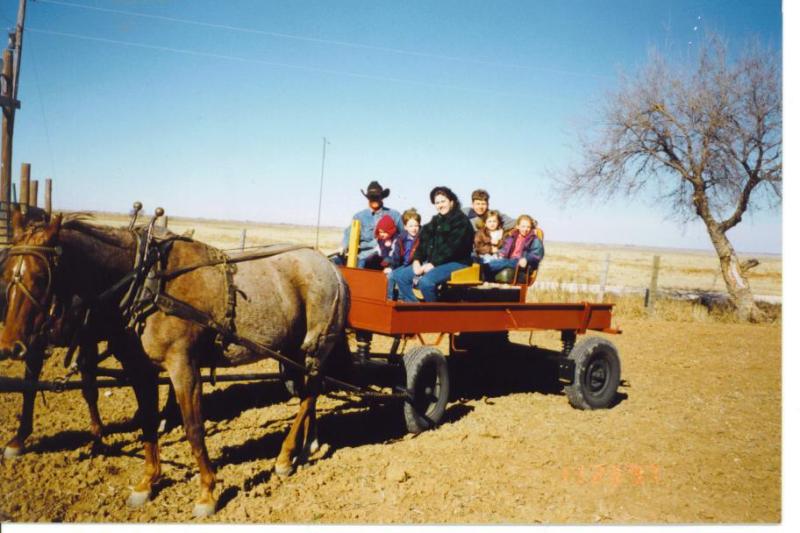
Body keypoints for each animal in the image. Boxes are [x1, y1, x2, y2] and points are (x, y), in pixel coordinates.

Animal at [0, 210, 350, 516]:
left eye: (40, 276)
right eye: (6, 273)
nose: (11, 347)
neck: (148, 283)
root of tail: (332, 269)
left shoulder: (183, 367)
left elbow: (194, 428)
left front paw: (207, 492)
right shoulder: (139, 369)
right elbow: (147, 422)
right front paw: (146, 483)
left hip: (316, 348)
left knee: (310, 395)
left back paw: (285, 457)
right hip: (292, 352)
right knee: (307, 395)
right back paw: (307, 446)